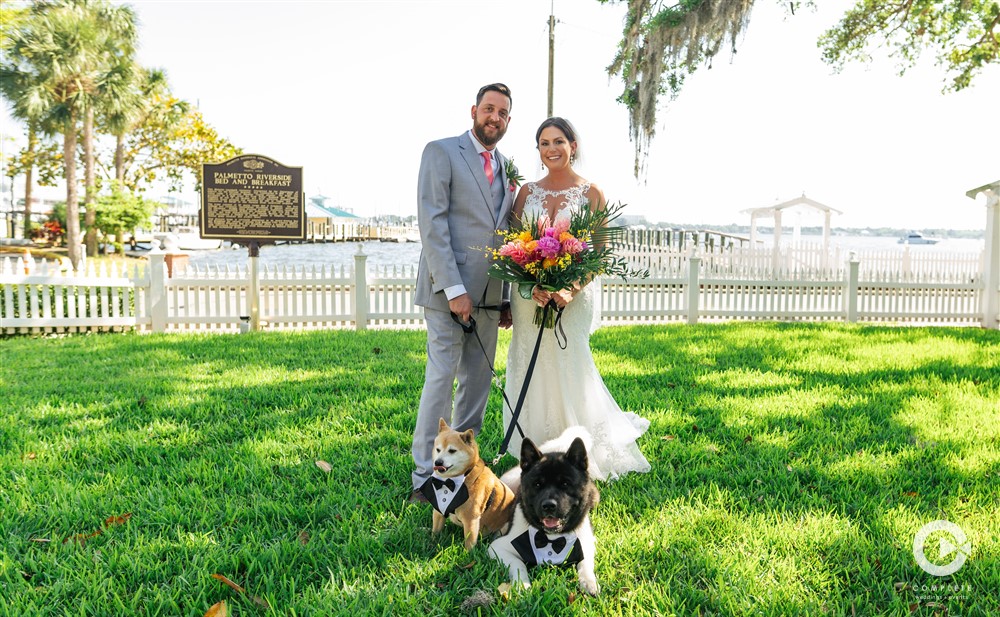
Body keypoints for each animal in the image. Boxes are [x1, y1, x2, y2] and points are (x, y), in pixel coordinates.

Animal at [418, 418, 520, 548]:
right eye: (438, 449)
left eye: (452, 451)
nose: (438, 462)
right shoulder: (439, 510)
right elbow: (435, 530)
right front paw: (431, 542)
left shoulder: (471, 519)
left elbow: (469, 543)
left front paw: (467, 553)